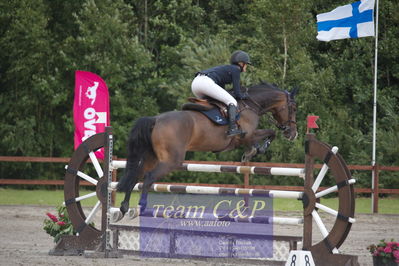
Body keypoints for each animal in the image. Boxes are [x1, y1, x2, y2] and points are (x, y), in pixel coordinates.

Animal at [114, 82, 298, 221]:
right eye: (294, 108)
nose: (292, 134)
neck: (251, 105)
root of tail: (155, 119)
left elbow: (266, 135)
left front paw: (252, 151)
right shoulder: (246, 135)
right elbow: (270, 133)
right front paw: (256, 150)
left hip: (151, 157)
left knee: (137, 175)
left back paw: (124, 208)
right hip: (171, 160)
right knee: (149, 177)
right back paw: (140, 207)